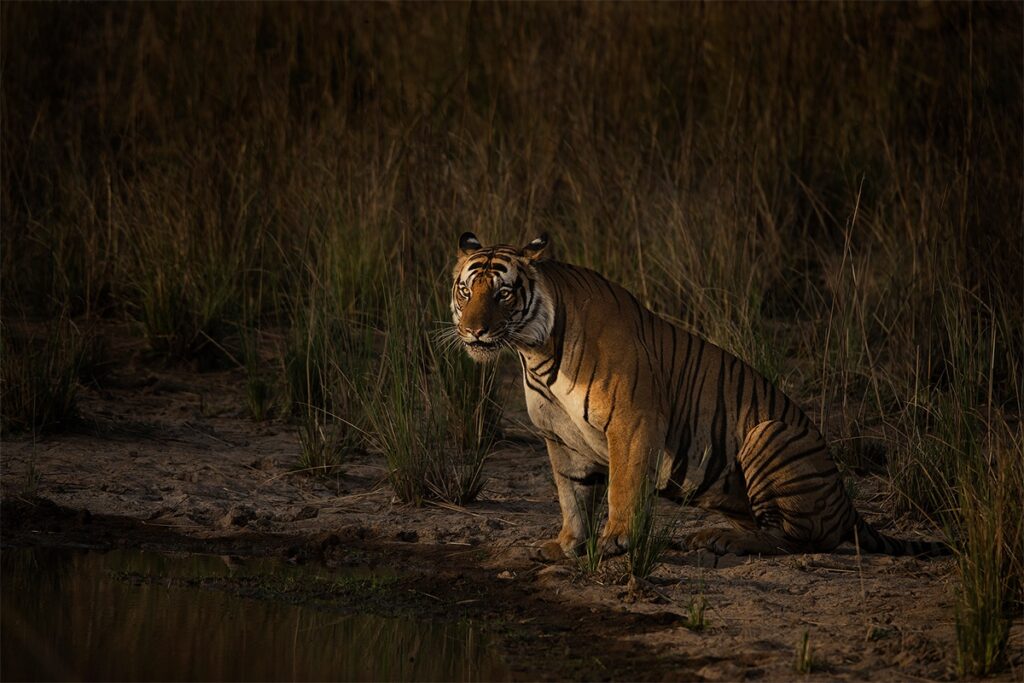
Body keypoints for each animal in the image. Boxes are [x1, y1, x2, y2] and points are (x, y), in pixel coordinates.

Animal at [450, 232, 948, 559]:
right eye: (466, 290)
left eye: (504, 294)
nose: (474, 331)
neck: (534, 353)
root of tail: (847, 503)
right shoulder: (560, 438)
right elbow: (571, 495)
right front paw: (566, 545)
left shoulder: (633, 420)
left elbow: (622, 485)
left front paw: (615, 539)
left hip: (769, 433)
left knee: (794, 538)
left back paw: (721, 541)